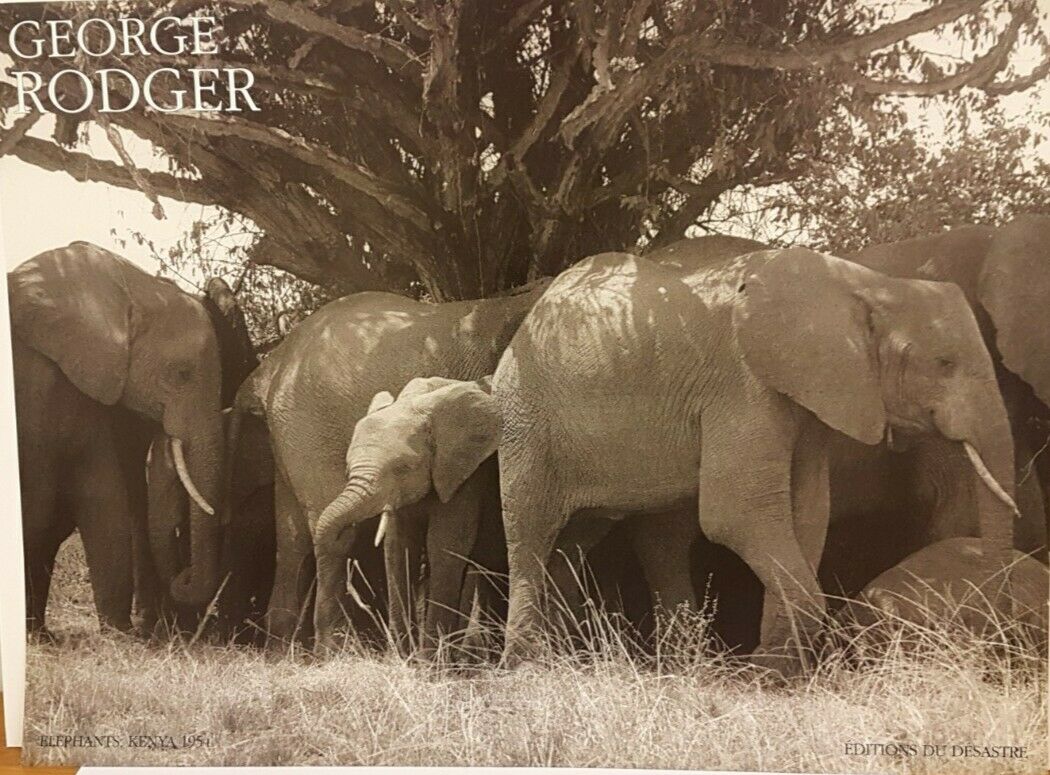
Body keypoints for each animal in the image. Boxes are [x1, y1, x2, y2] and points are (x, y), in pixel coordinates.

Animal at [10, 243, 255, 633]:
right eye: (182, 374)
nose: (184, 575)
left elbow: (105, 496)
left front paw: (118, 633)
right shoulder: (37, 386)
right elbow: (42, 506)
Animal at [315, 377, 502, 655]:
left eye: (403, 468)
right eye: (348, 469)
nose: (346, 533)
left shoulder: (465, 476)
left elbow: (444, 546)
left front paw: (429, 662)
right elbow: (398, 548)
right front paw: (406, 658)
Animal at [493, 247, 1019, 671]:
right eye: (944, 363)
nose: (988, 637)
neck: (865, 284)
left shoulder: (810, 397)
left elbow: (809, 510)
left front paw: (778, 665)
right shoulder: (742, 384)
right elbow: (737, 514)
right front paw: (770, 672)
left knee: (582, 540)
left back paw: (599, 661)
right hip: (524, 421)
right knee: (531, 531)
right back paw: (527, 666)